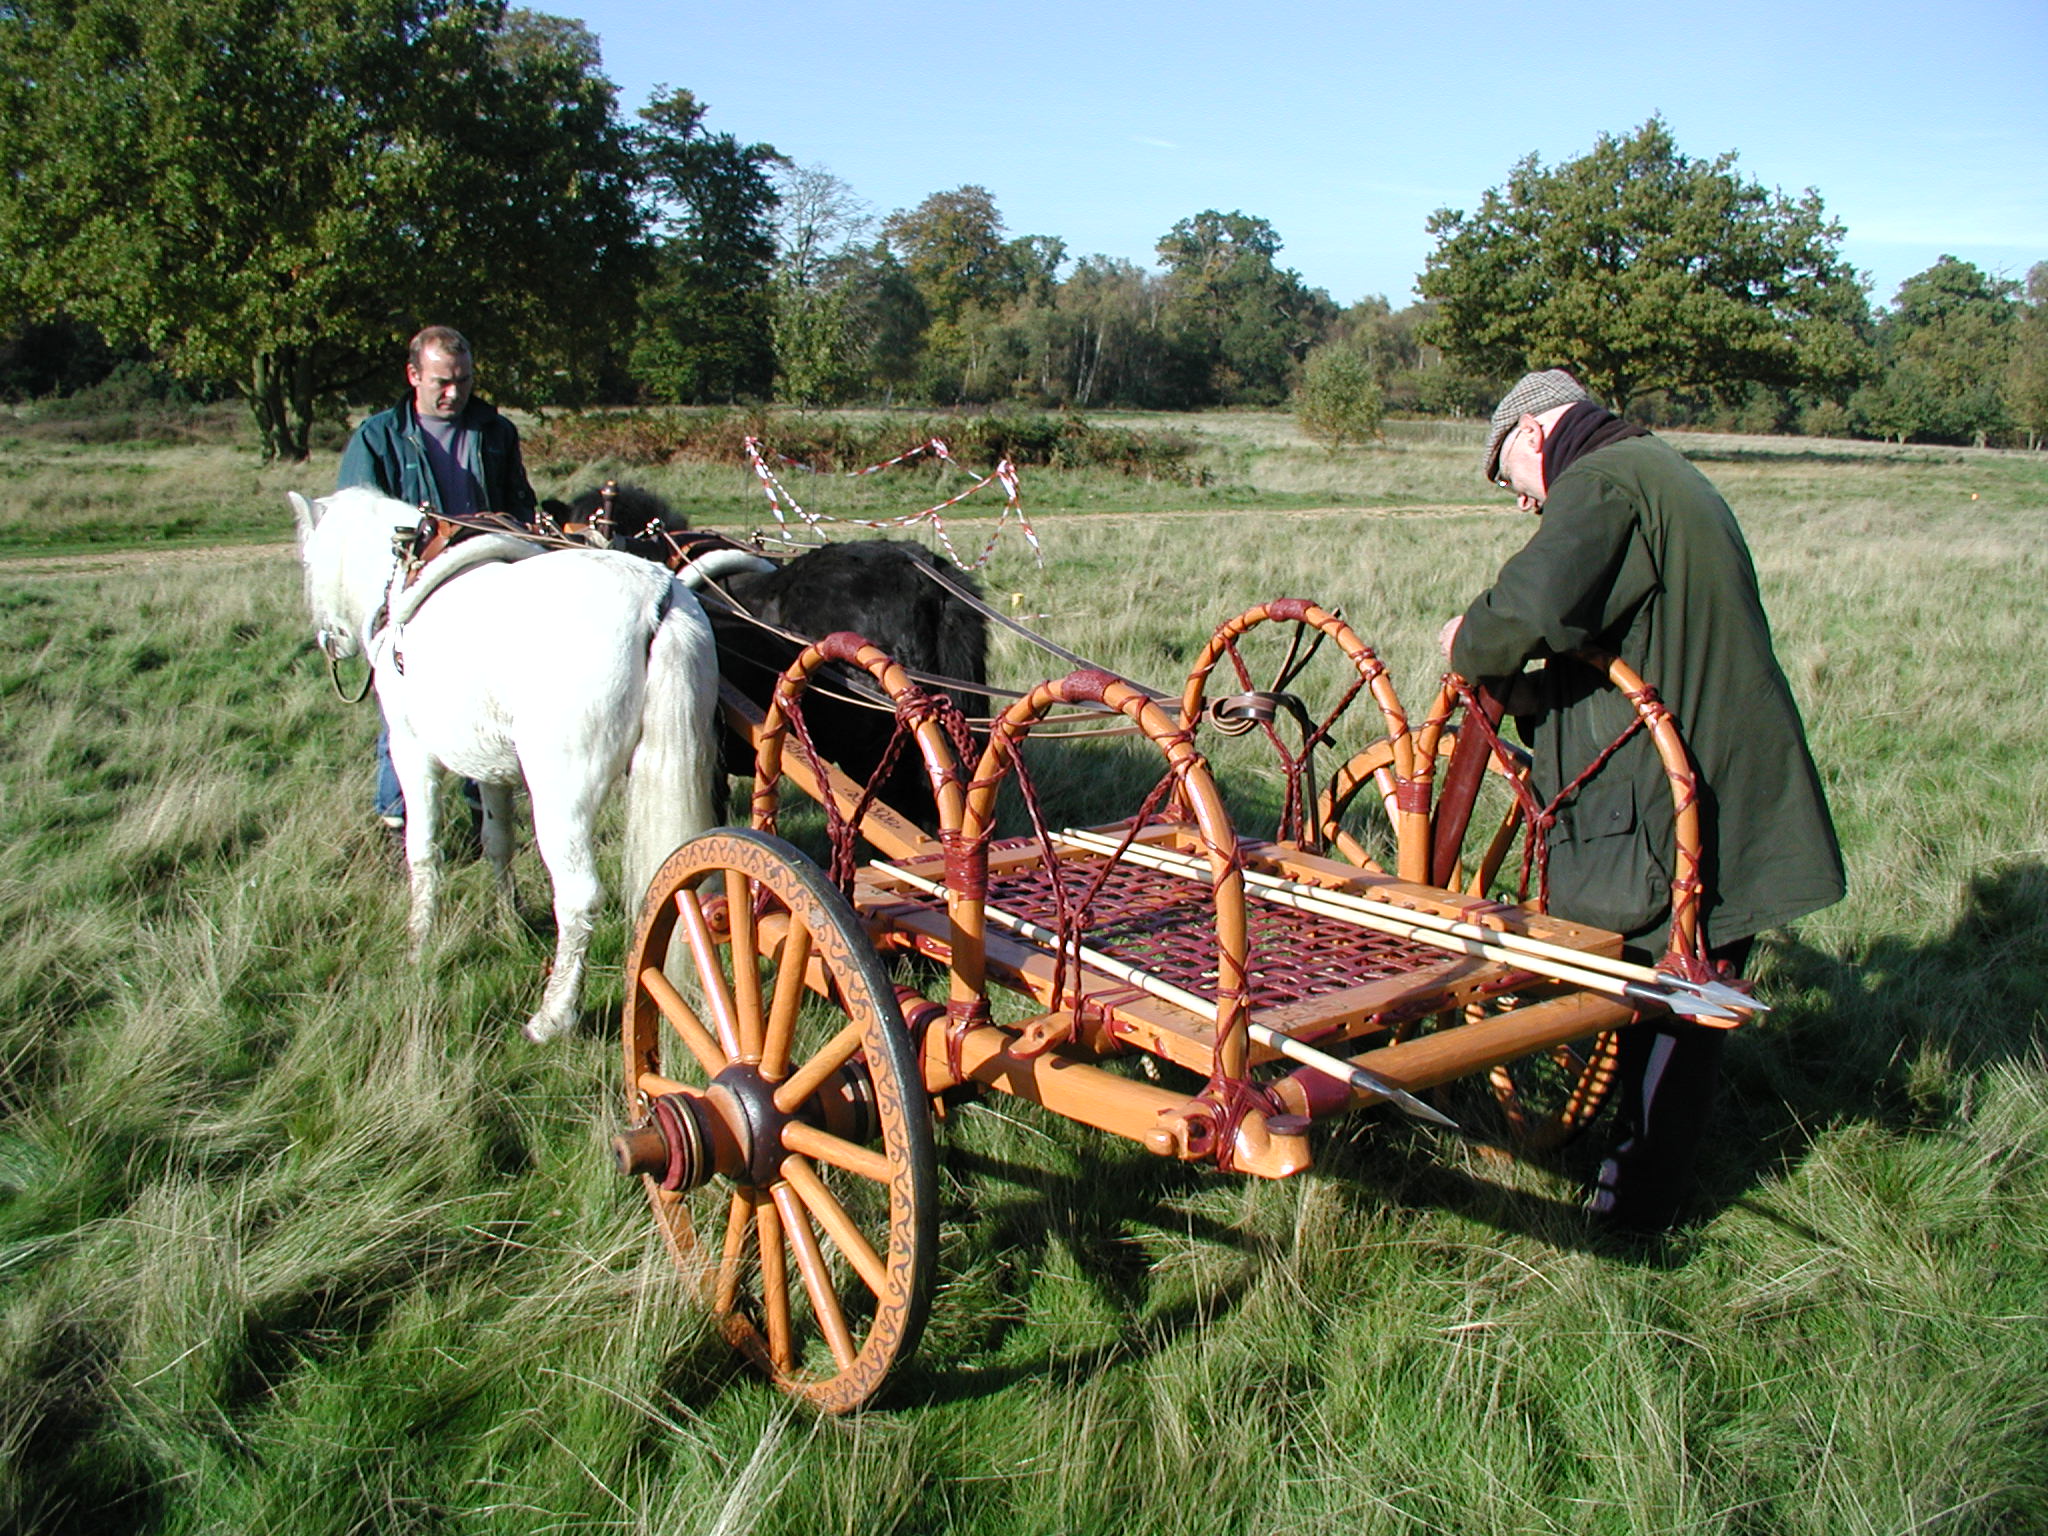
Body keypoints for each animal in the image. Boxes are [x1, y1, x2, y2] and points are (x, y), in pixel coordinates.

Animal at [292, 489, 724, 1048]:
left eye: (308, 561)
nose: (330, 640)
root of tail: (658, 597)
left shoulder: (413, 751)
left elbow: (422, 847)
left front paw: (419, 941)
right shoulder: (488, 767)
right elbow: (496, 840)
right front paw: (508, 921)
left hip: (561, 798)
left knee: (579, 897)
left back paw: (554, 1015)